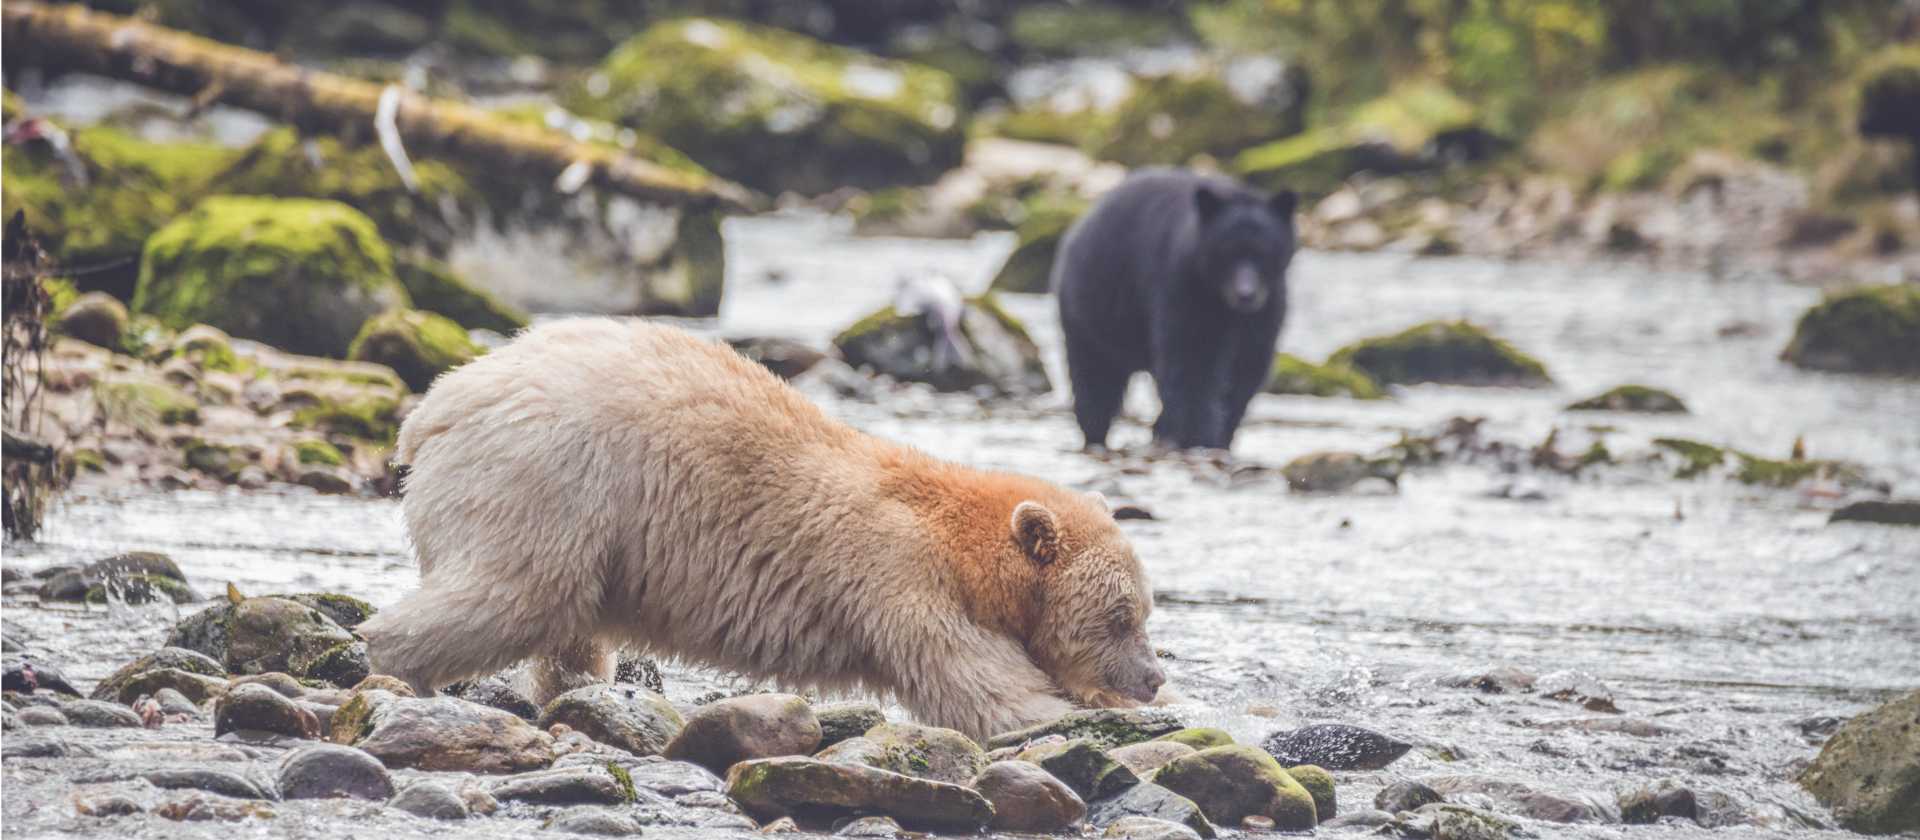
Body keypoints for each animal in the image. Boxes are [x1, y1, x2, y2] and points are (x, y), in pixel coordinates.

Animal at [358, 317, 1164, 740]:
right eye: (1121, 616)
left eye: (1144, 612)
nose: (1154, 676)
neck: (961, 544)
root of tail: (435, 410)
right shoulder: (896, 576)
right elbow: (979, 686)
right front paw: (1071, 713)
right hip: (550, 482)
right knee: (511, 593)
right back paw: (396, 666)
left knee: (567, 630)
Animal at [1053, 168, 1297, 451]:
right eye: (1227, 252)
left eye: (1264, 253)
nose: (1246, 294)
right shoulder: (1181, 286)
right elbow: (1194, 357)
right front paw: (1198, 436)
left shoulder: (1267, 309)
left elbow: (1247, 367)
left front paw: (1221, 437)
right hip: (1093, 314)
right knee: (1095, 379)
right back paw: (1096, 432)